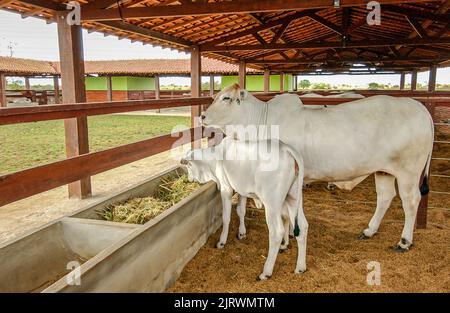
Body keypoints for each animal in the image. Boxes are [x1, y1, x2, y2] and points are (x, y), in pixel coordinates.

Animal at [181, 138, 308, 280]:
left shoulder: (226, 188)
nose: (189, 180)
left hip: (272, 203)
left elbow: (226, 217)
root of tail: (287, 149)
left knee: (277, 233)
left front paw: (222, 241)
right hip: (294, 197)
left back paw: (266, 272)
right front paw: (242, 233)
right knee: (303, 226)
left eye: (188, 166)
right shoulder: (241, 190)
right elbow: (241, 211)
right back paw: (300, 268)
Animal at [202, 83, 434, 251]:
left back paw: (404, 241)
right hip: (383, 170)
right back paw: (369, 230)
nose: (202, 116)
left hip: (408, 173)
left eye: (226, 98)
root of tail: (422, 109)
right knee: (385, 197)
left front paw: (286, 241)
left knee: (411, 201)